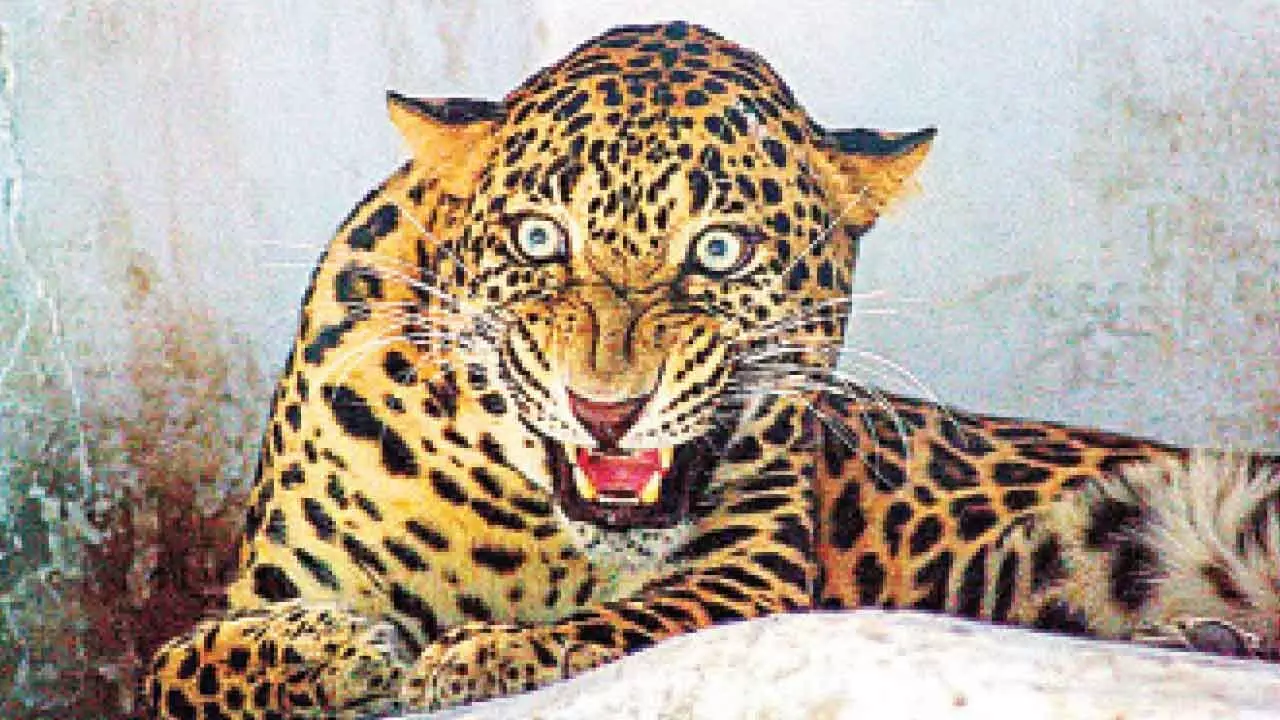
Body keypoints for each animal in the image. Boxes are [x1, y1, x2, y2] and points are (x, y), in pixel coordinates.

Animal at [140, 21, 1280, 719]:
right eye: (540, 239)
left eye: (719, 251)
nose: (604, 411)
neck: (531, 528)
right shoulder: (266, 590)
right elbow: (190, 663)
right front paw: (340, 652)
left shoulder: (750, 576)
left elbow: (625, 623)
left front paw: (478, 655)